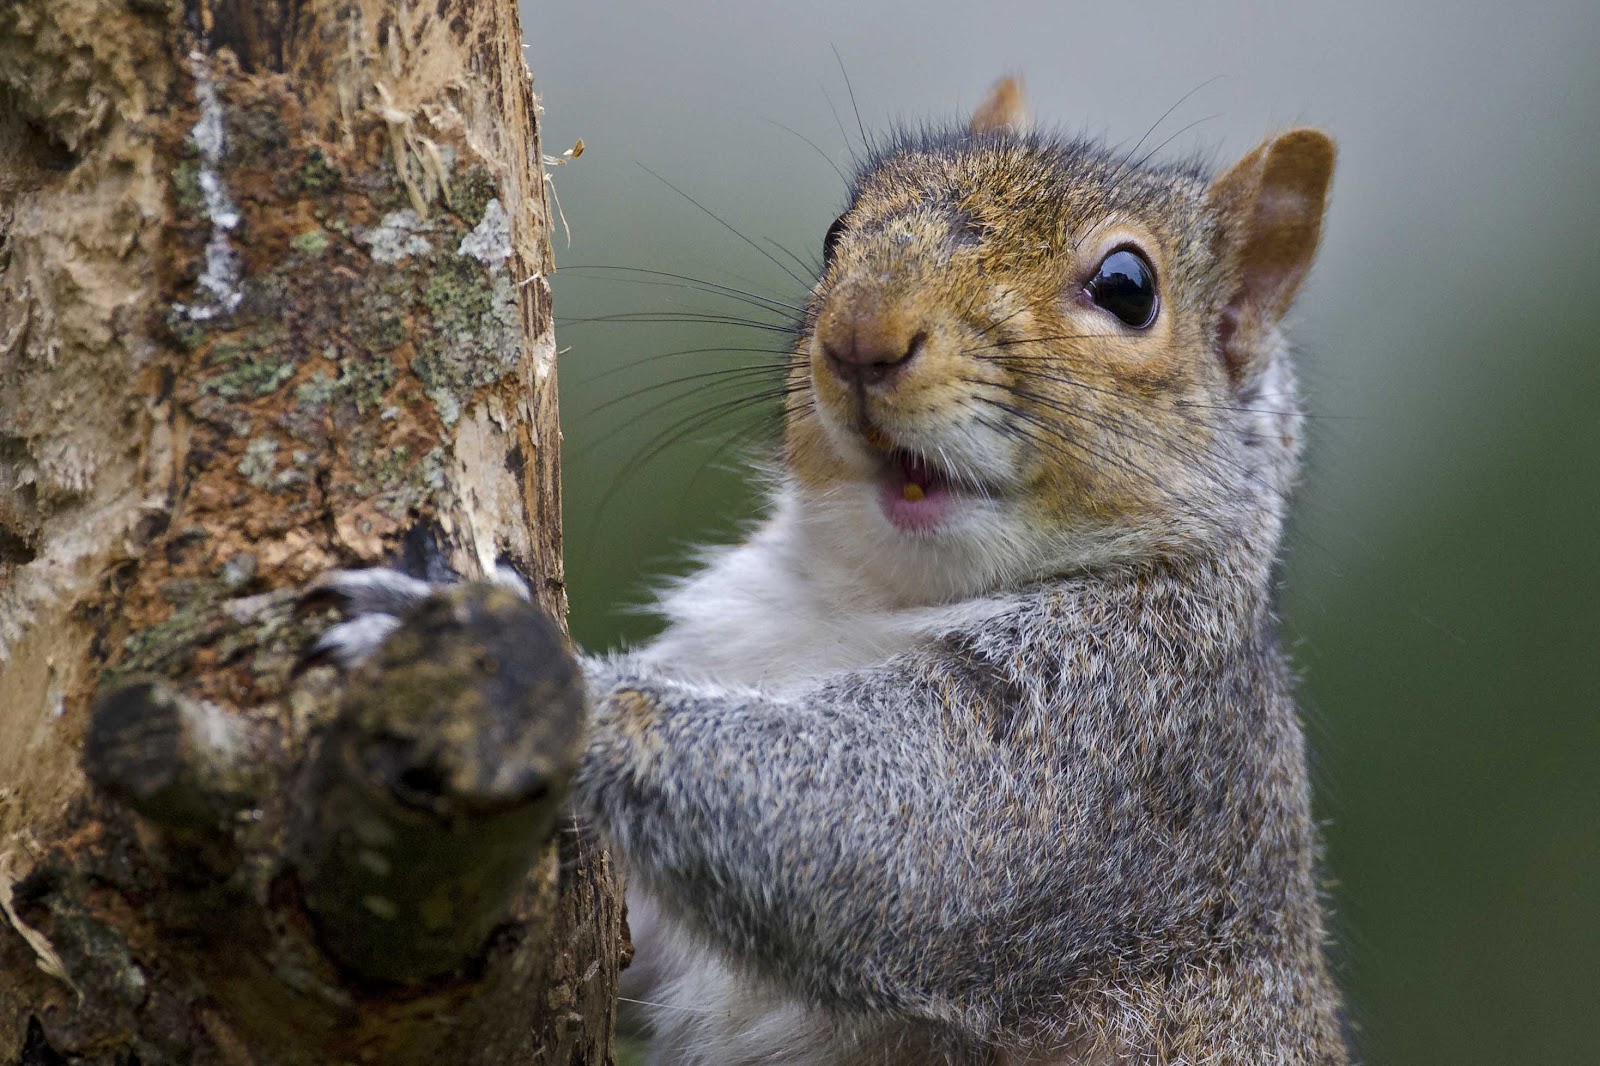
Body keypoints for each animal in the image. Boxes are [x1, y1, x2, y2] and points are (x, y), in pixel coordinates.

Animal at [315, 78, 1346, 1065]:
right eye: (834, 236)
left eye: (1129, 288)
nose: (860, 336)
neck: (867, 594)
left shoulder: (1120, 752)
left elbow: (895, 837)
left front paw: (502, 672)